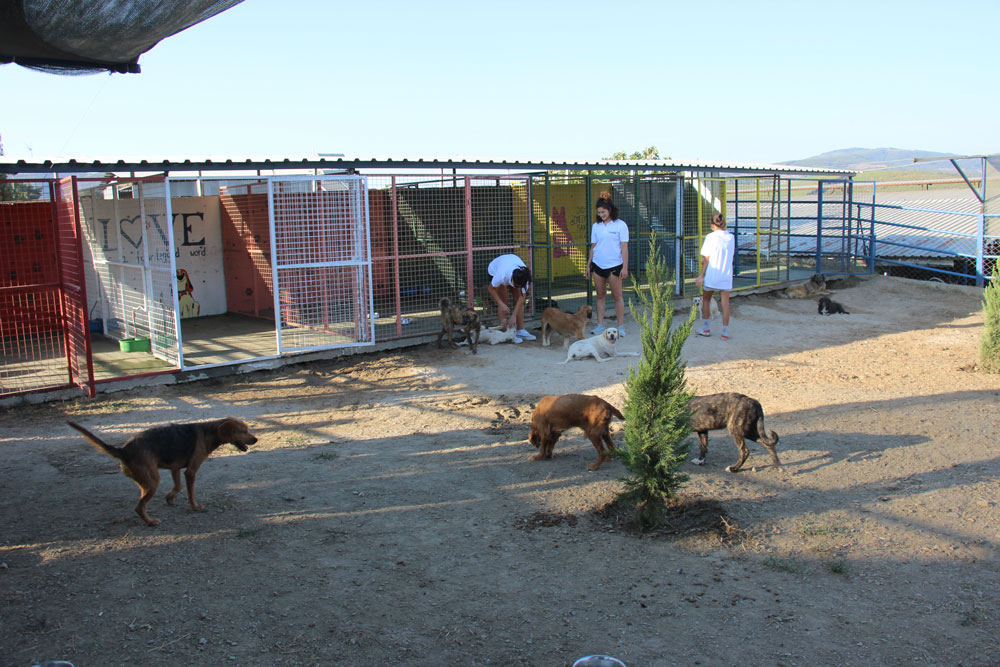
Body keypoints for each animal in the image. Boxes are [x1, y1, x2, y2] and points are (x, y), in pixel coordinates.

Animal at [67, 418, 258, 528]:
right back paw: (151, 522)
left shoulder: (175, 468)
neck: (209, 431)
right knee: (139, 507)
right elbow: (190, 493)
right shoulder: (191, 471)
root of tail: (124, 450)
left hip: (148, 480)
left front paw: (170, 498)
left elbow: (178, 487)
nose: (256, 439)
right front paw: (194, 506)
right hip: (153, 481)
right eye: (244, 431)